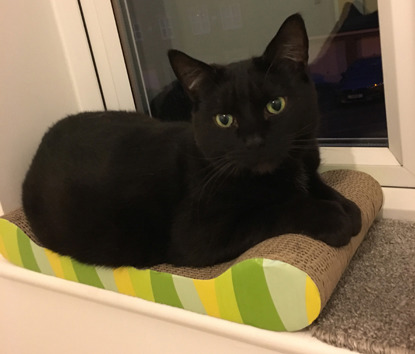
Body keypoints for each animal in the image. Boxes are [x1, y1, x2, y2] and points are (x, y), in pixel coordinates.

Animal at [22, 14, 360, 268]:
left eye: (276, 105)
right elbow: (276, 208)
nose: (254, 141)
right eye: (224, 119)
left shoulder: (306, 163)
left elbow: (321, 187)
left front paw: (349, 207)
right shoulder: (197, 235)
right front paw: (334, 218)